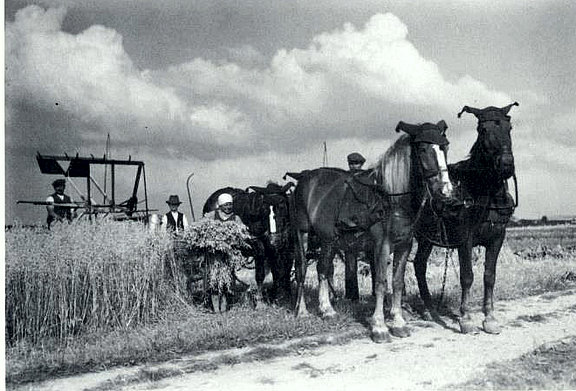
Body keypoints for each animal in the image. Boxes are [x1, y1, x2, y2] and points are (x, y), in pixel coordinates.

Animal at [412, 102, 520, 336]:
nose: (506, 165)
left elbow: (489, 276)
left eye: (509, 127)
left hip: (426, 239)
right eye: (483, 129)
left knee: (419, 264)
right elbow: (467, 276)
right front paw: (466, 318)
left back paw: (430, 310)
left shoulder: (497, 237)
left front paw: (489, 318)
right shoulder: (465, 239)